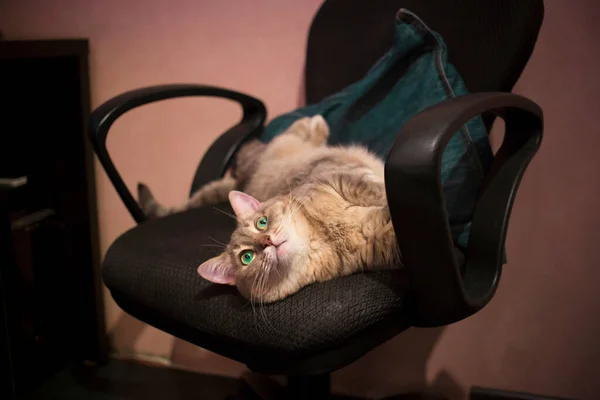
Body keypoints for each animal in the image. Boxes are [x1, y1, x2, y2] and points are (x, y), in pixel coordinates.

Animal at [135, 115, 398, 304]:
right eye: (247, 257)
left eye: (261, 223)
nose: (267, 241)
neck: (324, 236)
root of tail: (241, 179)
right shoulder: (378, 239)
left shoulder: (341, 178)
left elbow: (375, 188)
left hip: (285, 148)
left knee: (295, 131)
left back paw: (316, 122)